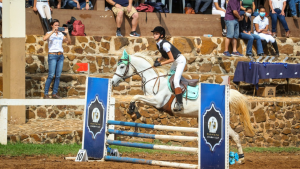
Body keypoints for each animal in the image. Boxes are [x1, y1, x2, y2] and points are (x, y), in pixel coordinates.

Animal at [111, 50, 254, 164]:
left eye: (122, 66)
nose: (112, 82)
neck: (153, 79)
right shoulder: (150, 100)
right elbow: (137, 100)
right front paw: (136, 115)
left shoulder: (157, 101)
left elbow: (135, 97)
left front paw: (134, 113)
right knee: (235, 135)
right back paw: (240, 158)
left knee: (233, 135)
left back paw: (238, 158)